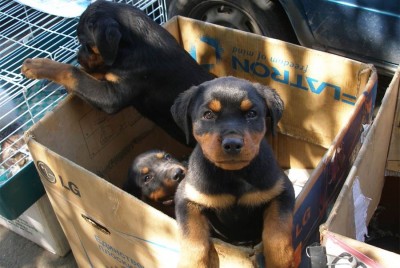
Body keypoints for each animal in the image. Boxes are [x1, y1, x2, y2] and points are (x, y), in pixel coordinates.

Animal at [19, 0, 212, 147]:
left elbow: (74, 73)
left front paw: (36, 65)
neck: (133, 44)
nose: (77, 57)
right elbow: (94, 72)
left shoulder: (112, 97)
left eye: (85, 43)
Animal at [170, 76, 296, 266]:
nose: (232, 144)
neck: (234, 175)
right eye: (208, 115)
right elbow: (193, 240)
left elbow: (277, 234)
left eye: (251, 114)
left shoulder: (282, 190)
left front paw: (281, 262)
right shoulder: (187, 197)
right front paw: (191, 264)